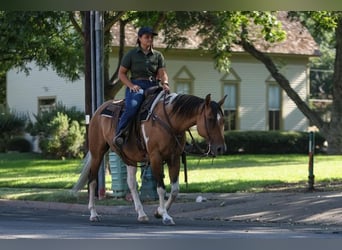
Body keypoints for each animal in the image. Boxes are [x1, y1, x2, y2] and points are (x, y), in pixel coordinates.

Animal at [73, 90, 227, 227]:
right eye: (210, 119)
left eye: (223, 120)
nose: (221, 148)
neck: (169, 121)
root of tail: (99, 110)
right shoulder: (155, 158)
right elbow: (161, 188)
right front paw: (165, 216)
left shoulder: (174, 158)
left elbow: (174, 190)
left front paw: (159, 212)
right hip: (97, 152)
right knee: (92, 181)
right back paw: (93, 214)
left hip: (130, 158)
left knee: (131, 183)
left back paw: (141, 214)